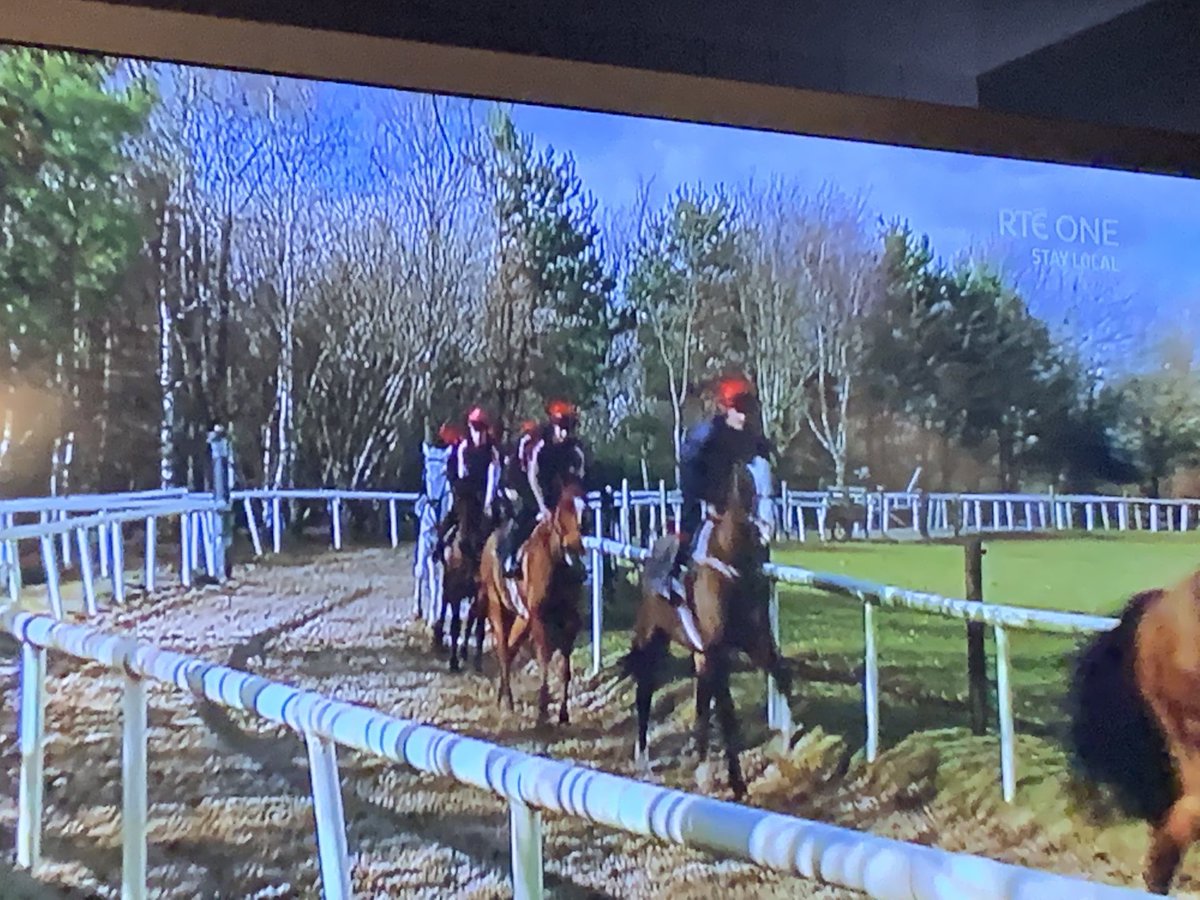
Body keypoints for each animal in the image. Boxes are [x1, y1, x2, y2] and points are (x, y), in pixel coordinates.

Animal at [477, 475, 590, 729]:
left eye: (585, 510)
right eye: (563, 510)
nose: (574, 545)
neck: (557, 562)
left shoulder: (569, 621)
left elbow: (565, 667)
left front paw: (563, 714)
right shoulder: (539, 619)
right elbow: (544, 658)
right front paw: (542, 712)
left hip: (522, 618)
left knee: (509, 650)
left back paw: (502, 696)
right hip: (498, 608)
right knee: (503, 650)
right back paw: (508, 702)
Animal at [624, 460, 792, 801]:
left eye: (772, 477)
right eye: (746, 482)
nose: (768, 524)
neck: (731, 565)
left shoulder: (754, 642)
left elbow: (781, 674)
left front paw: (785, 744)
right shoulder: (718, 650)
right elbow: (726, 712)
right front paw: (737, 782)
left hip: (698, 652)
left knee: (701, 699)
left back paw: (700, 766)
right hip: (653, 637)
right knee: (645, 689)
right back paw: (644, 759)